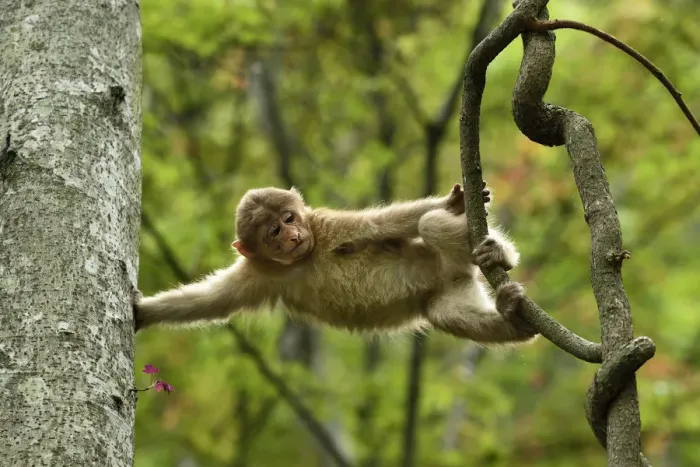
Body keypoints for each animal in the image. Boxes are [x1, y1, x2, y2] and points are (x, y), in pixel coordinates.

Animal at [135, 184, 537, 344]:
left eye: (289, 218)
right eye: (272, 231)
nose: (291, 235)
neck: (300, 259)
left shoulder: (326, 226)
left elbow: (384, 224)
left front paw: (454, 202)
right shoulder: (258, 273)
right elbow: (211, 301)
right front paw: (143, 312)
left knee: (429, 225)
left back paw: (498, 254)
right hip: (453, 288)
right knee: (443, 312)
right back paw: (514, 321)